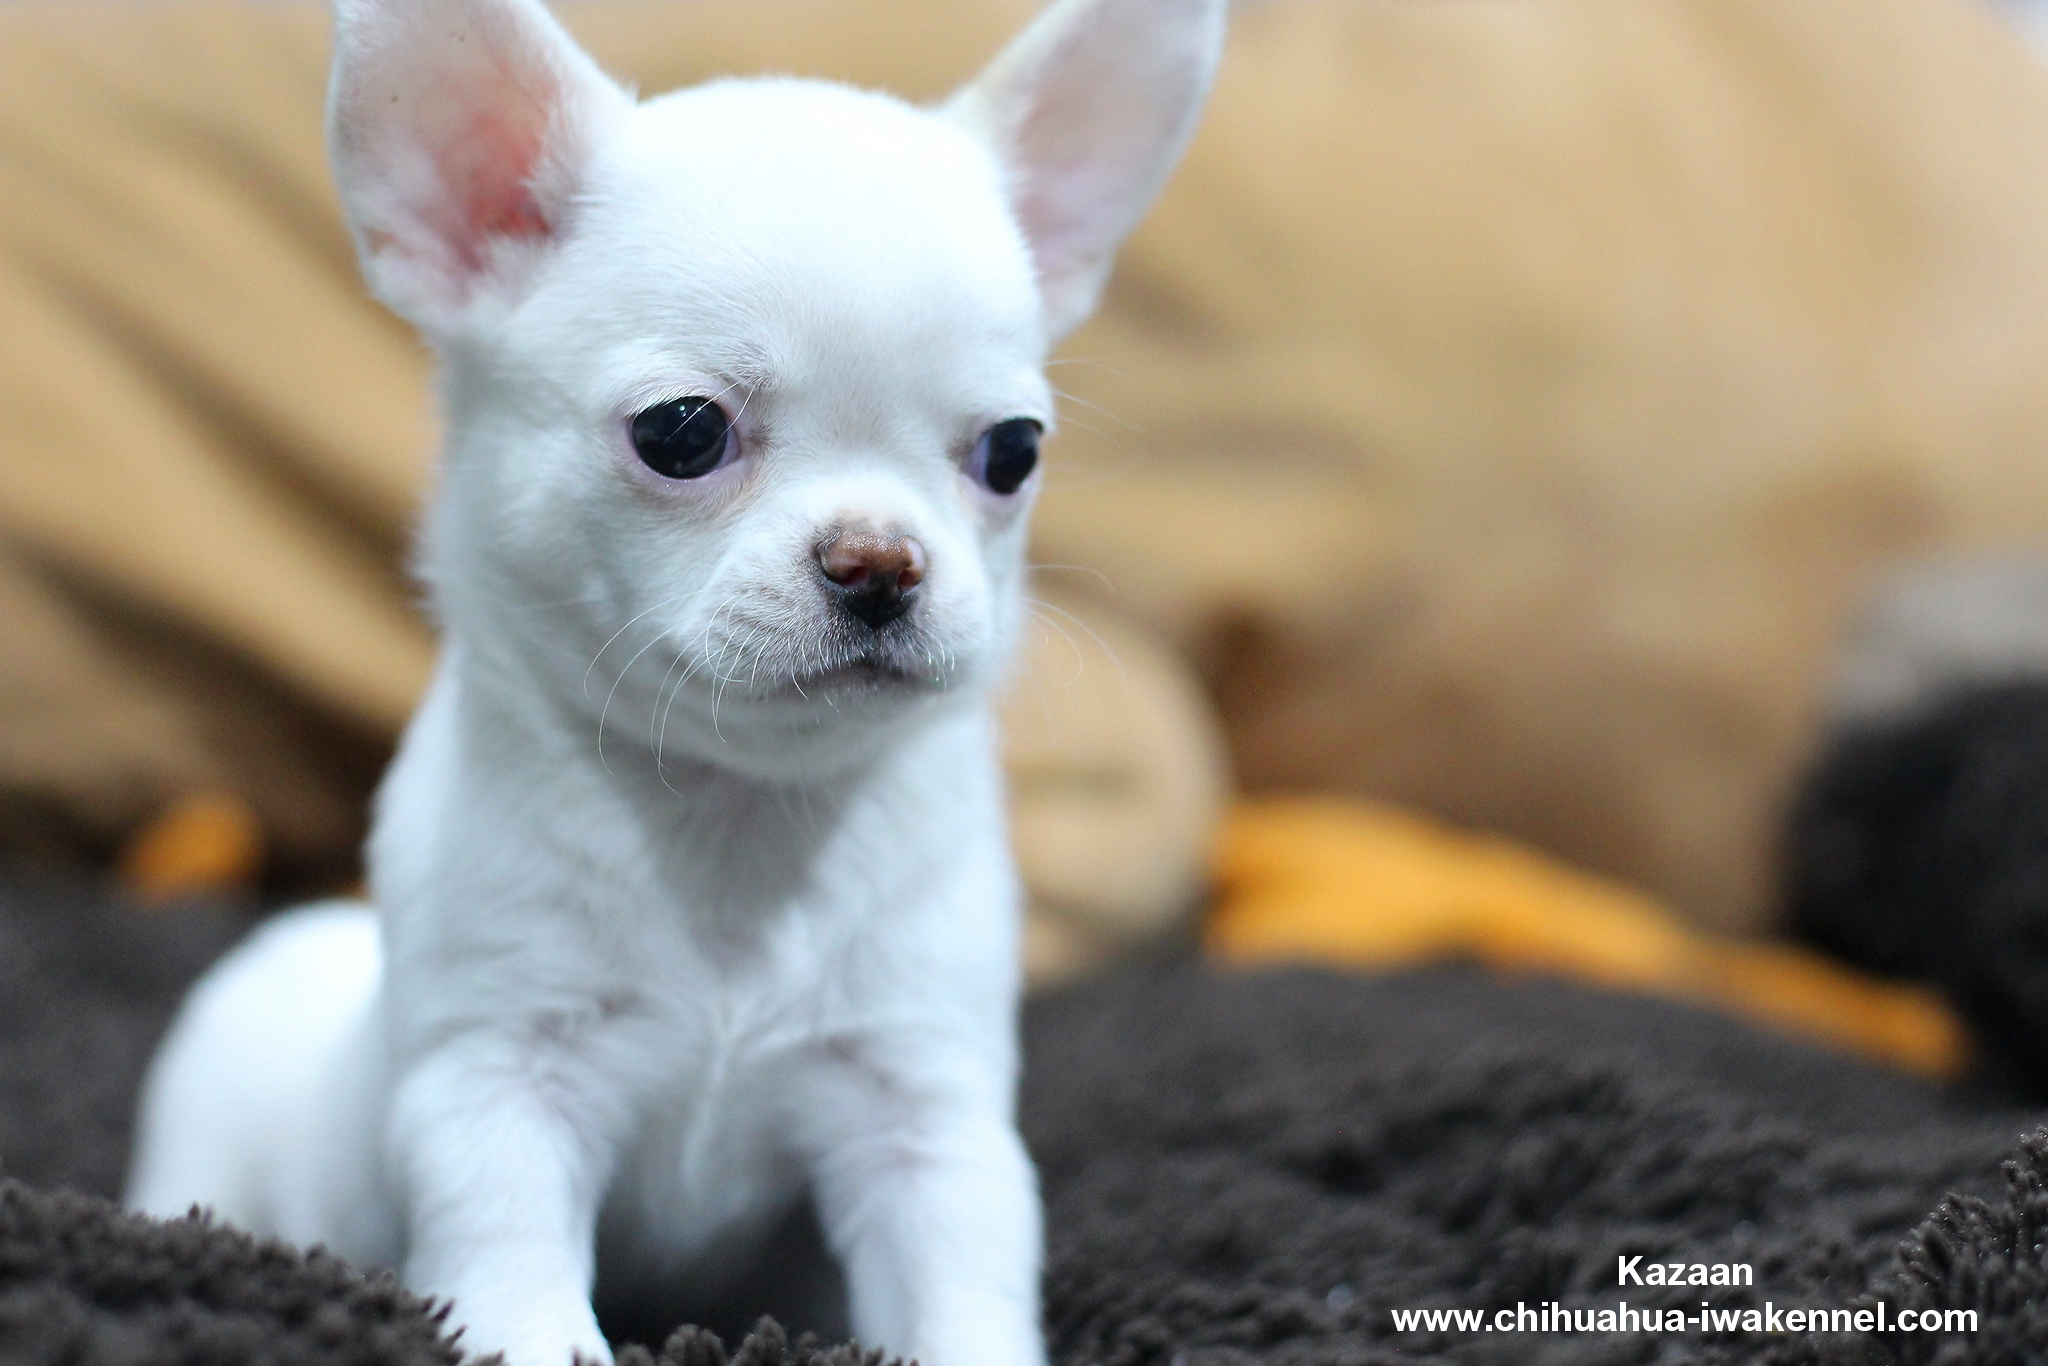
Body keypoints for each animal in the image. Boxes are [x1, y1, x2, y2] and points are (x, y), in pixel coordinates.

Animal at [121, 0, 1224, 1361]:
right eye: (682, 433)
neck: (735, 819)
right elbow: (513, 1265)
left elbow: (960, 1286)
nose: (881, 560)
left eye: (1011, 454)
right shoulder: (499, 1083)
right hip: (206, 1117)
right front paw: (539, 1336)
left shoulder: (921, 1113)